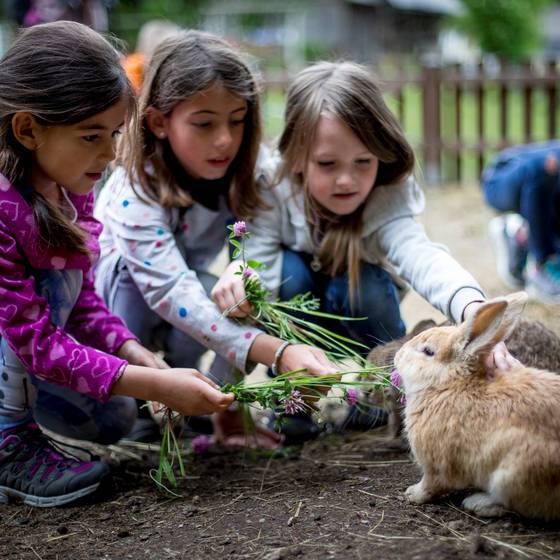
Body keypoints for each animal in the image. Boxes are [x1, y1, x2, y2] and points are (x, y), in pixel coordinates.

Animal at [394, 294, 560, 520]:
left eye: (428, 351)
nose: (397, 355)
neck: (447, 385)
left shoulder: (436, 466)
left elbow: (431, 485)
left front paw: (412, 494)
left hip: (512, 475)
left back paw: (478, 503)